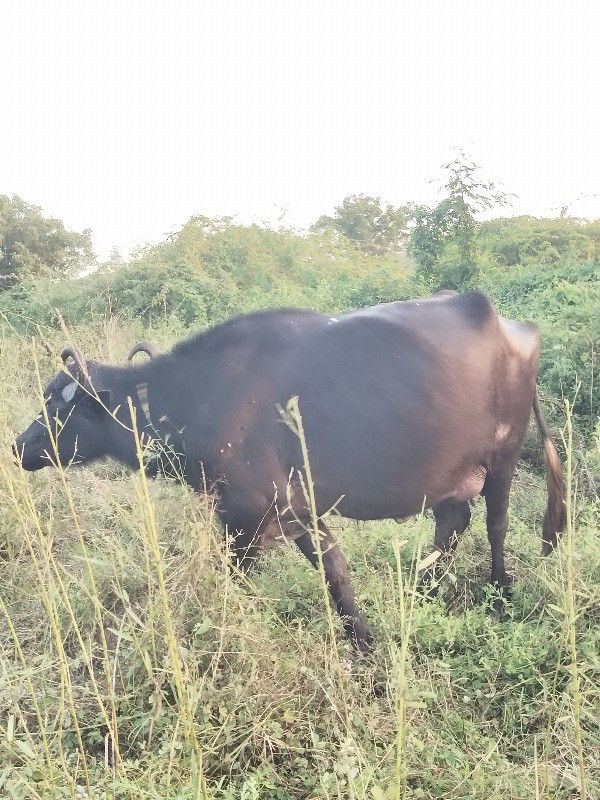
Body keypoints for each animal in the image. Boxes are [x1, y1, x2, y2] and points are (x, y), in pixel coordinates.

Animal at [15, 292, 568, 648]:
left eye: (57, 404)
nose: (20, 446)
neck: (201, 396)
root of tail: (515, 331)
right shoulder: (295, 510)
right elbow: (334, 570)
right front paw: (362, 637)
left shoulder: (251, 513)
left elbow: (242, 574)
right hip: (448, 477)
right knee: (452, 525)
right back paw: (422, 587)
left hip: (502, 459)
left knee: (495, 525)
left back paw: (500, 590)